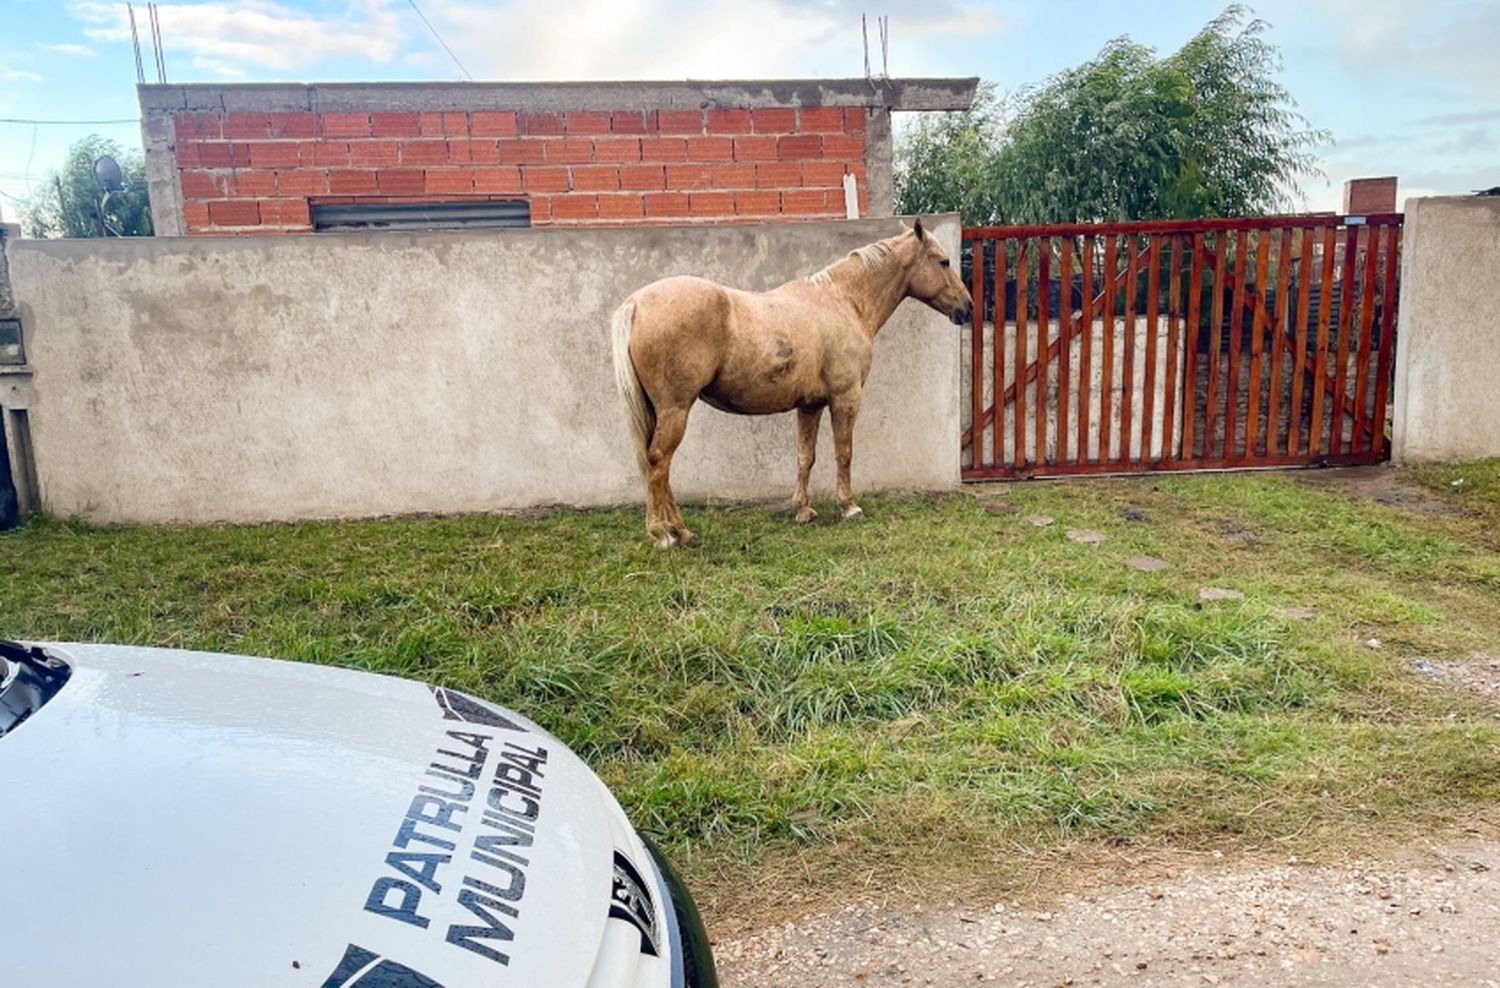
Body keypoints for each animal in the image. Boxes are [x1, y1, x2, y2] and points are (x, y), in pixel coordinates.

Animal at [609, 217, 972, 551]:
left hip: (662, 412)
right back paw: (663, 534)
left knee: (658, 465)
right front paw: (849, 506)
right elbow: (844, 452)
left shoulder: (810, 405)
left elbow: (805, 456)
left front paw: (802, 510)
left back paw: (682, 532)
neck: (843, 301)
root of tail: (635, 303)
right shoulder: (846, 398)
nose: (966, 308)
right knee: (658, 462)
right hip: (676, 409)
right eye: (944, 261)